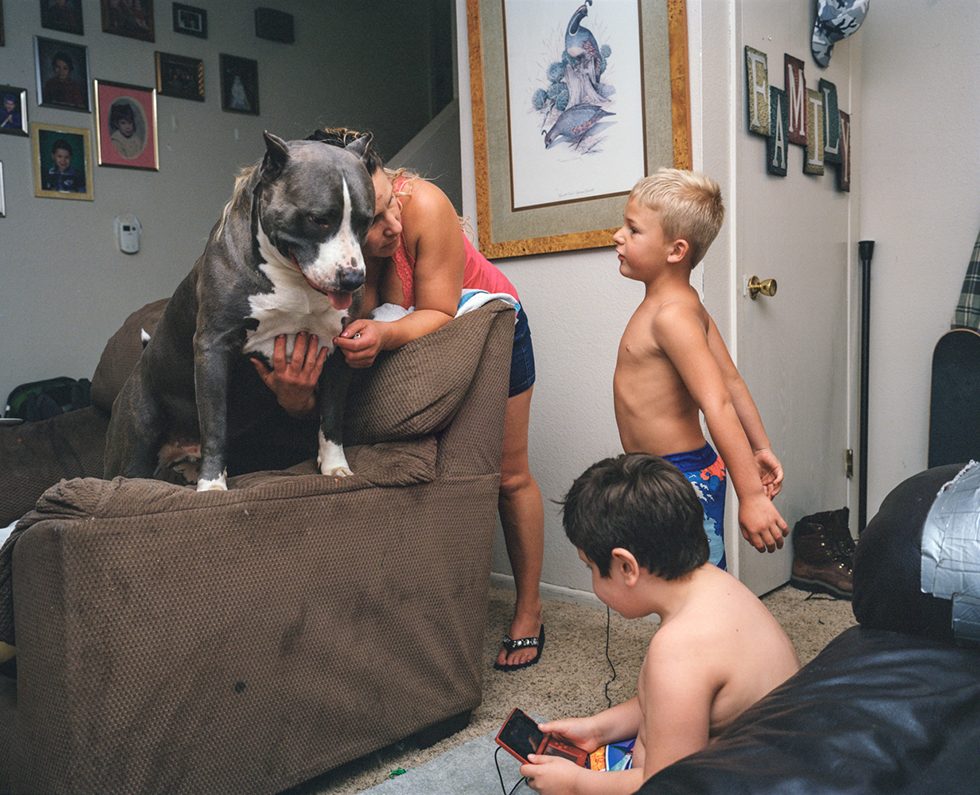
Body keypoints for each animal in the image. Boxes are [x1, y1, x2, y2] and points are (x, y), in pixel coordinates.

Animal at [104, 131, 376, 492]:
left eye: (366, 221)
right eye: (319, 219)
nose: (353, 278)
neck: (293, 279)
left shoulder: (340, 349)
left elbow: (331, 419)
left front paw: (335, 468)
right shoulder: (213, 348)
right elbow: (214, 427)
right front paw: (212, 486)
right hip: (134, 445)